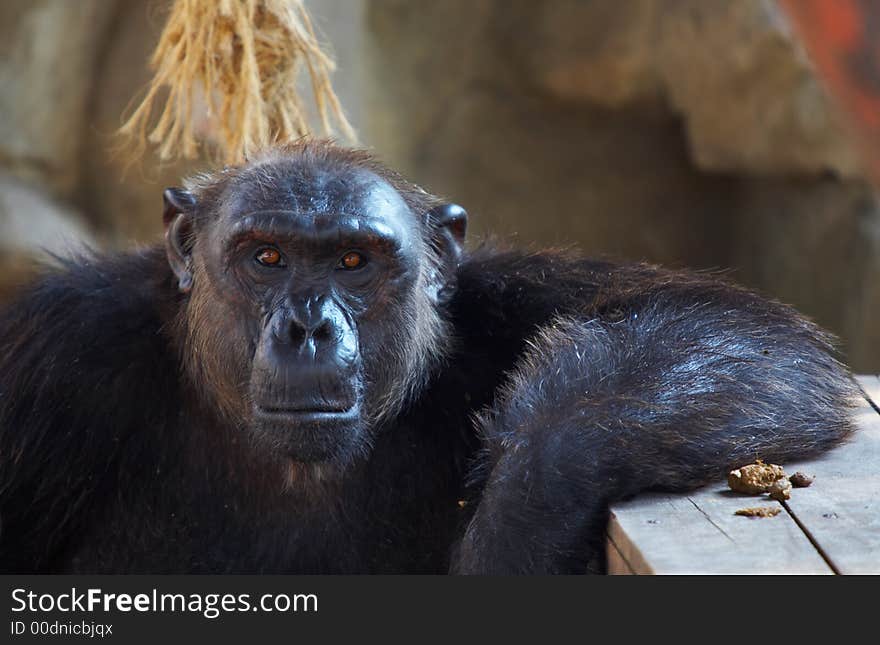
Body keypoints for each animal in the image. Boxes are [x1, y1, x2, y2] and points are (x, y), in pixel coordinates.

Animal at [0, 142, 856, 572]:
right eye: (267, 256)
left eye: (354, 261)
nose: (308, 326)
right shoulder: (54, 353)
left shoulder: (514, 298)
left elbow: (737, 333)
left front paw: (517, 524)